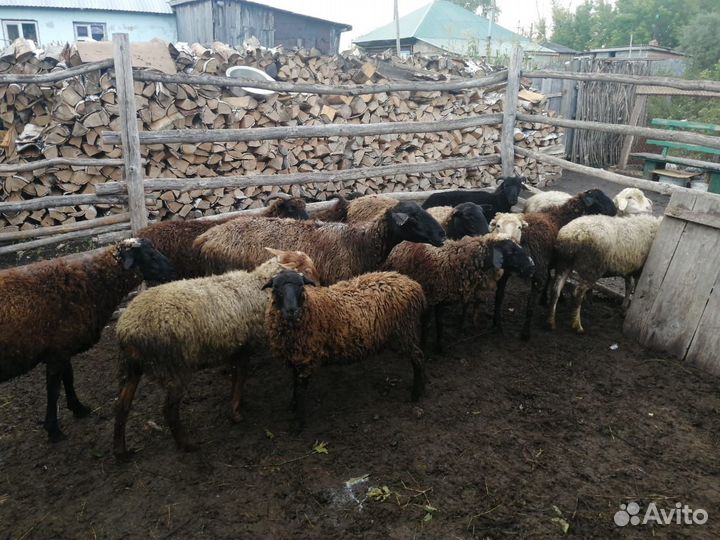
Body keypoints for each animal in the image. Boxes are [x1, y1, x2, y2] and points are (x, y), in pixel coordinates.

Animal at [0, 239, 175, 442]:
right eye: (150, 255)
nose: (172, 271)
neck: (93, 282)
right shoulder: (57, 353)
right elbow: (54, 390)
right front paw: (54, 430)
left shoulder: (64, 347)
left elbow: (69, 378)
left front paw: (79, 409)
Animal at [113, 248, 319, 459]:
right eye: (307, 270)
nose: (319, 286)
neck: (256, 287)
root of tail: (127, 329)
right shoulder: (244, 347)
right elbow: (240, 377)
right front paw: (235, 413)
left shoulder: (236, 348)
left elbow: (236, 378)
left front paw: (238, 404)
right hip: (172, 367)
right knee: (168, 410)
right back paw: (187, 445)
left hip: (131, 367)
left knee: (121, 406)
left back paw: (121, 452)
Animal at [263, 270, 427, 431]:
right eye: (276, 287)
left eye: (301, 286)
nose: (292, 311)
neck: (311, 308)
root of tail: (413, 284)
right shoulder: (295, 357)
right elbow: (294, 383)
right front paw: (293, 405)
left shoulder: (307, 359)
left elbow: (301, 391)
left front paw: (298, 423)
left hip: (403, 333)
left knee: (418, 357)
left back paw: (416, 393)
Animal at [384, 235, 535, 350]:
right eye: (511, 252)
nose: (531, 266)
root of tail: (402, 242)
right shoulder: (432, 297)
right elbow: (429, 325)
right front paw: (425, 346)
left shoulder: (440, 298)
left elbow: (440, 323)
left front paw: (440, 346)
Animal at [492, 189, 617, 340]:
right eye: (599, 199)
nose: (615, 210)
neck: (563, 217)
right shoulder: (560, 262)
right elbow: (555, 282)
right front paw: (556, 298)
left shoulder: (552, 261)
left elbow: (551, 279)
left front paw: (545, 299)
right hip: (537, 271)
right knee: (530, 305)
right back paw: (526, 333)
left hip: (506, 270)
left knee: (499, 297)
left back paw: (497, 326)